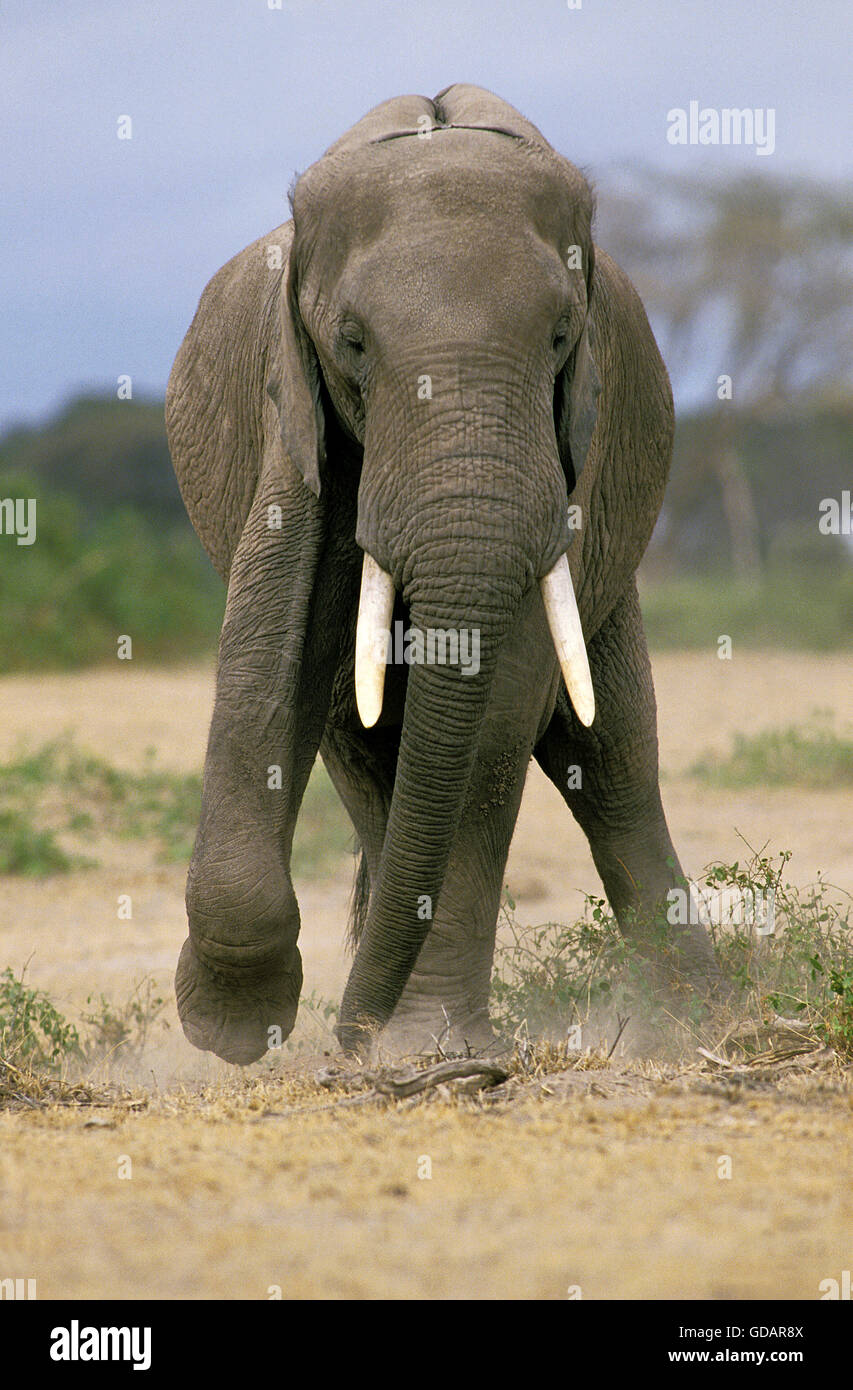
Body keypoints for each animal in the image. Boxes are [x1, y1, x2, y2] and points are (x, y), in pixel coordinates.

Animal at [161, 84, 722, 1061]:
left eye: (561, 336)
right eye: (350, 343)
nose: (347, 1036)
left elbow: (497, 713)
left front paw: (429, 1056)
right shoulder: (293, 416)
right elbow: (269, 653)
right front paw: (234, 1027)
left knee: (612, 755)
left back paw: (709, 1015)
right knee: (357, 744)